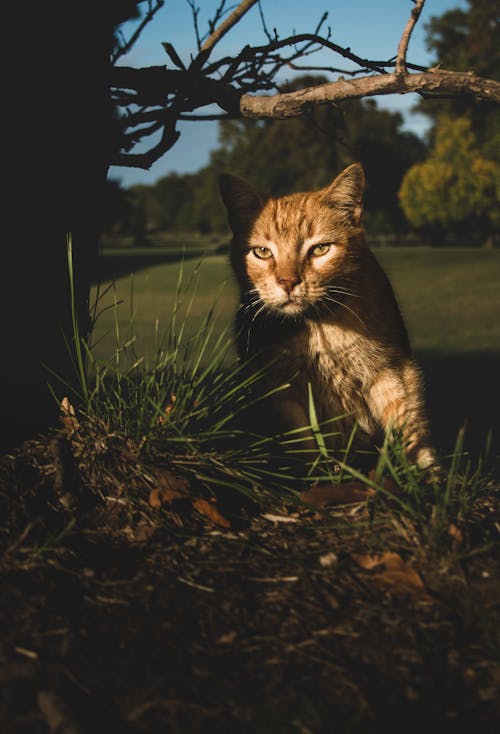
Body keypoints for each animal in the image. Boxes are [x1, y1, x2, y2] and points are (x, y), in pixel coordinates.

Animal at [220, 163, 438, 474]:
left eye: (320, 249)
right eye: (262, 252)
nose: (288, 282)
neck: (318, 327)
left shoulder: (392, 371)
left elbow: (411, 428)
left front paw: (426, 479)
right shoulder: (280, 392)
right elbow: (304, 447)